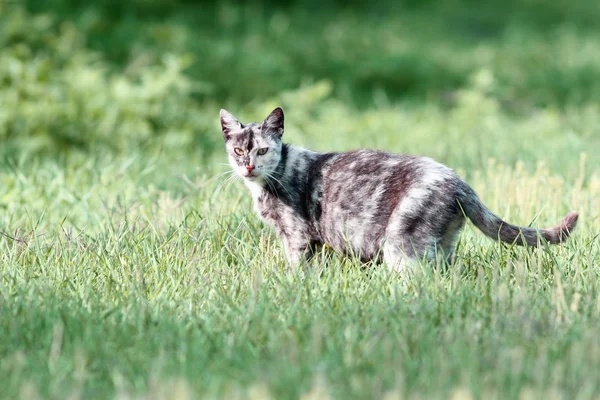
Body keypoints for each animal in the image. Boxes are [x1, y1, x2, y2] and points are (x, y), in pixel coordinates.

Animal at [219, 106, 576, 270]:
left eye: (262, 150)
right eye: (238, 150)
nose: (248, 165)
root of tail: (460, 182)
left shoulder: (297, 236)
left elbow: (296, 269)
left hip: (401, 244)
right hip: (441, 245)